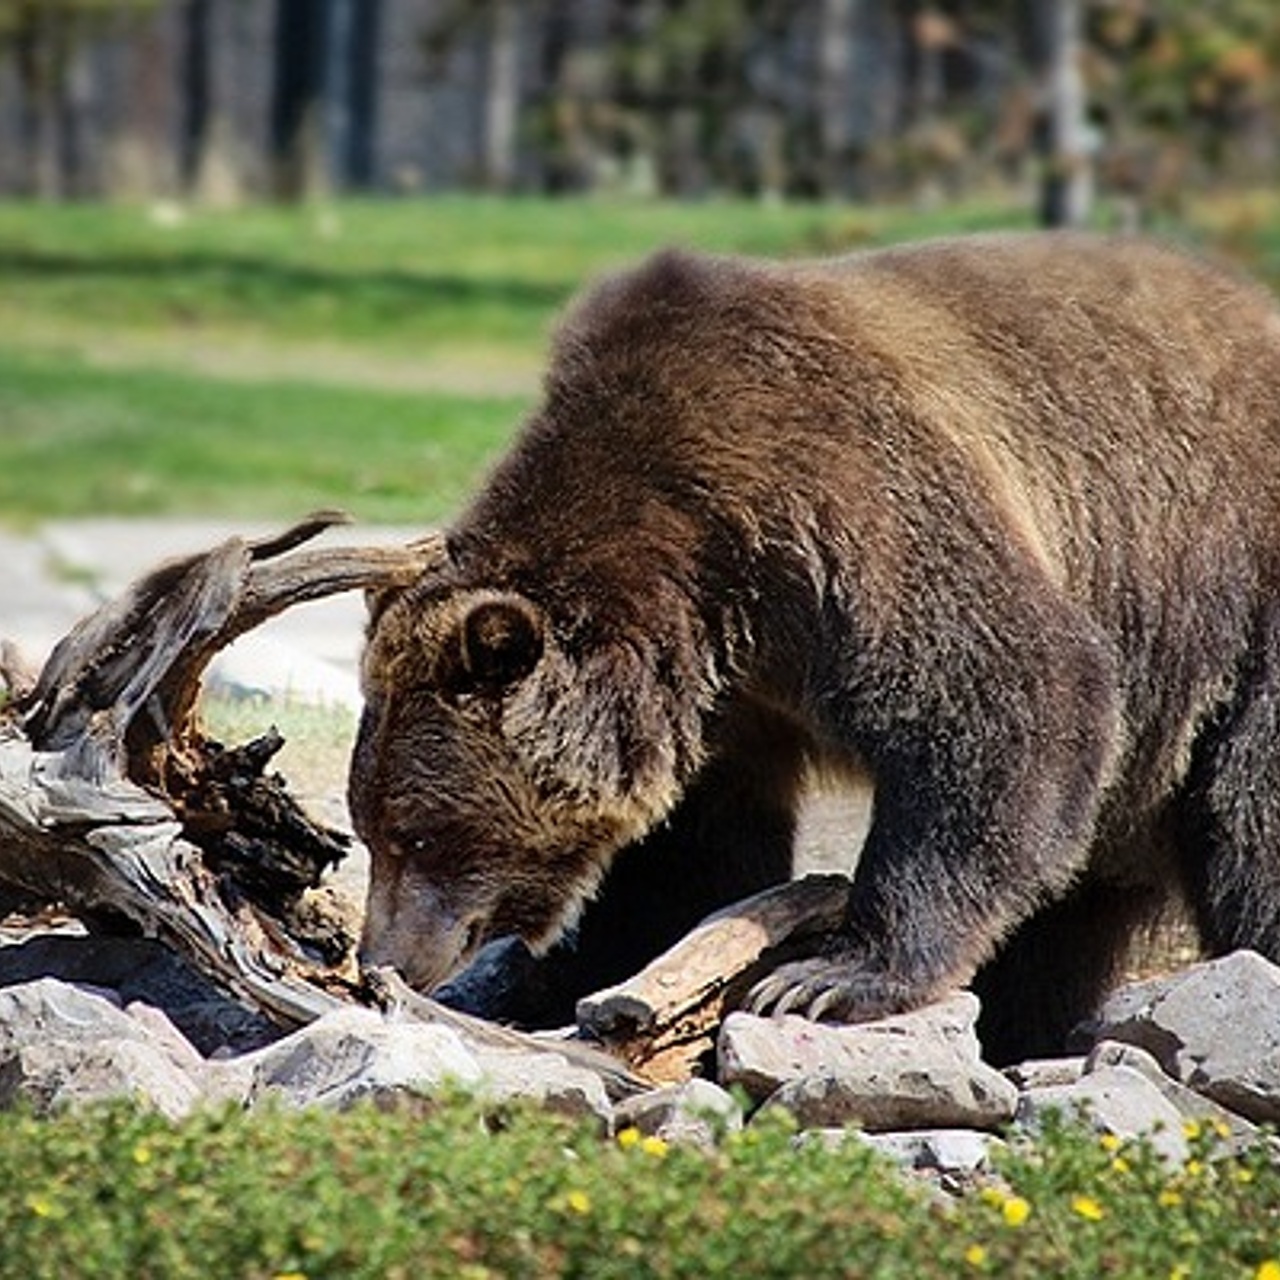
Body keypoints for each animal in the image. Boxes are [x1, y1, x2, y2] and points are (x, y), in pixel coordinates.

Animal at [350, 230, 1280, 1059]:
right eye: (371, 828)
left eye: (417, 834)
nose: (381, 960)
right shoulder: (726, 703)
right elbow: (689, 856)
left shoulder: (844, 505)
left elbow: (1008, 699)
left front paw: (828, 977)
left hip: (1236, 616)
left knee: (1247, 824)